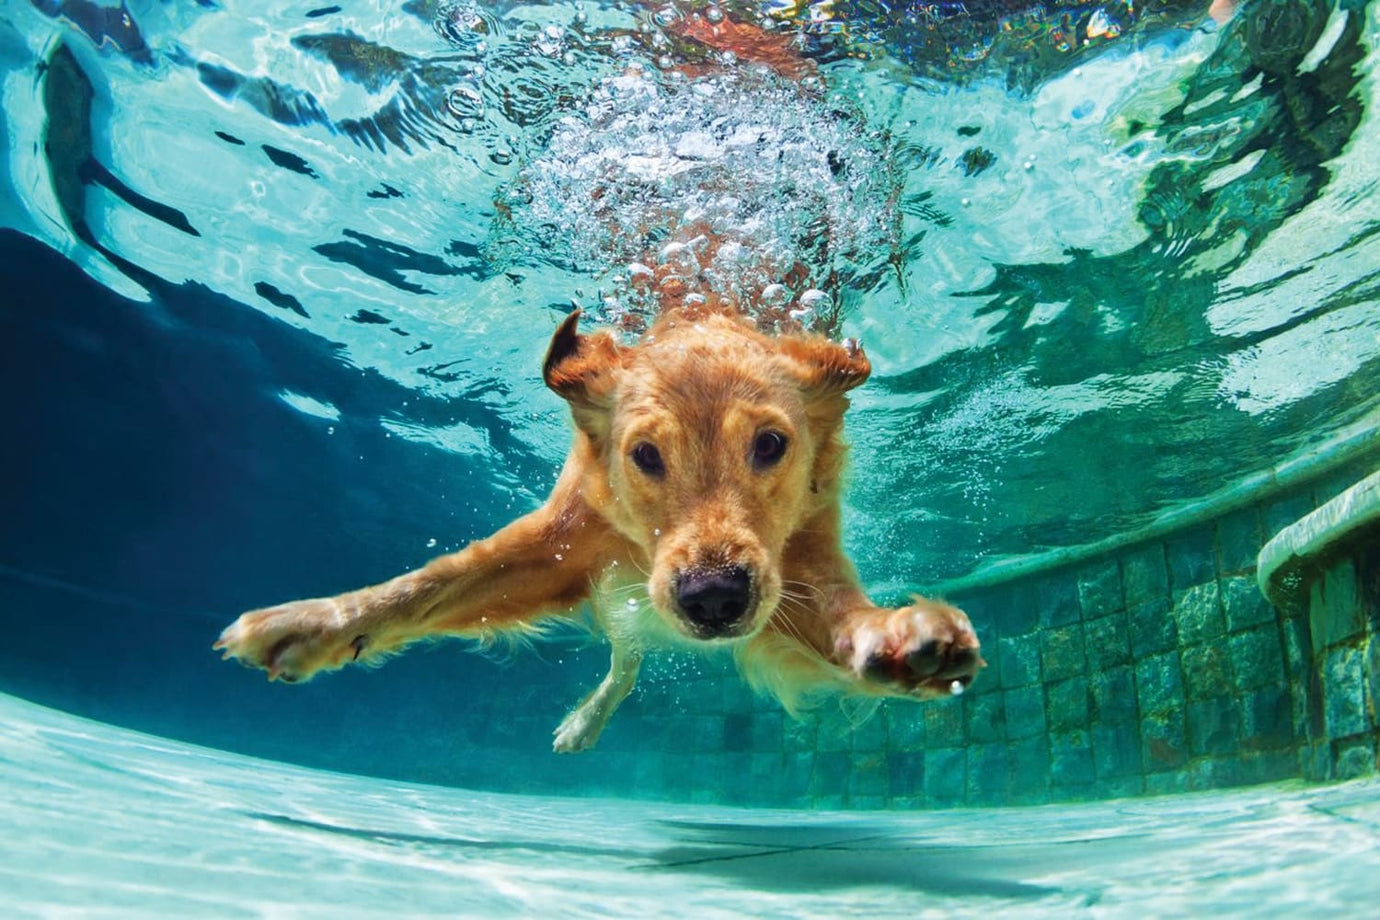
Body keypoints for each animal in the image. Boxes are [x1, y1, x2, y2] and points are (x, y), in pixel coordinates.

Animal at [212, 306, 982, 750]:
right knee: (625, 658)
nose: (713, 598)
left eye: (770, 445)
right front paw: (314, 624)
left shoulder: (799, 562)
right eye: (645, 455)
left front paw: (899, 638)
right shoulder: (560, 542)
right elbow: (429, 584)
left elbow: (842, 615)